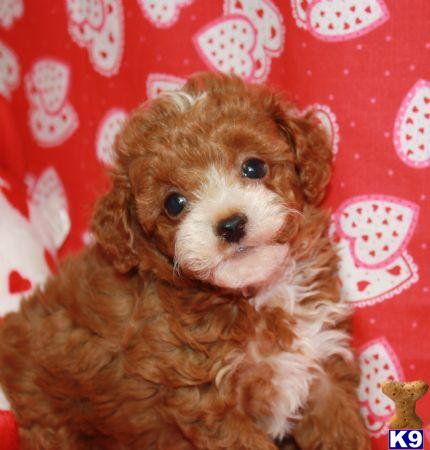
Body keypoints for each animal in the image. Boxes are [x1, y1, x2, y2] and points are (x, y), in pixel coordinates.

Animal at [0, 72, 370, 448]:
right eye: (174, 203)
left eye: (254, 167)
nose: (231, 225)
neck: (257, 297)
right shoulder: (209, 403)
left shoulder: (322, 361)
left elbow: (341, 428)